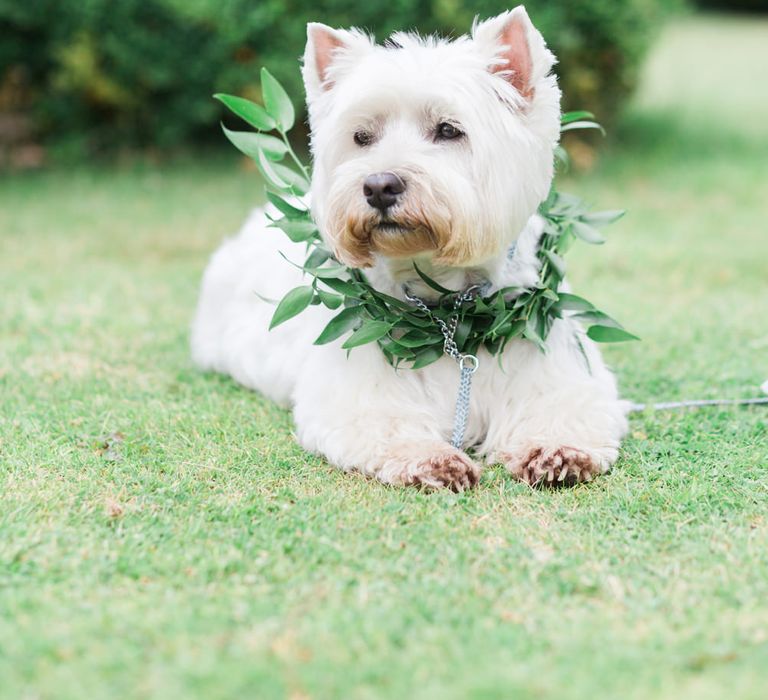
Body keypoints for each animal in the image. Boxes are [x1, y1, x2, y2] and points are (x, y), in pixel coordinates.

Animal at [189, 5, 628, 490]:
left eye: (449, 130)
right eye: (362, 137)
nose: (379, 186)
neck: (449, 312)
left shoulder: (554, 362)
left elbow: (563, 406)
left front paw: (556, 449)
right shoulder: (358, 387)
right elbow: (387, 423)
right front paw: (430, 458)